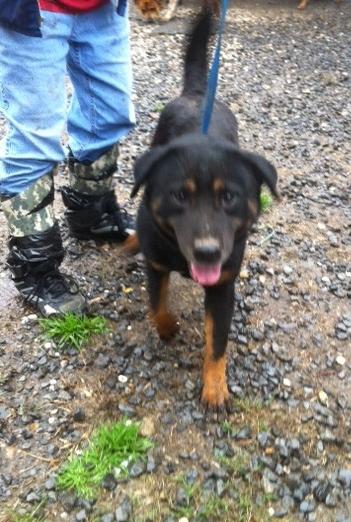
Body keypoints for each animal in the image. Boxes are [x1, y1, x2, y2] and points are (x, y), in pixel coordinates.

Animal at [131, 7, 280, 406]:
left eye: (228, 197)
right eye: (179, 196)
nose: (208, 252)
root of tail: (198, 93)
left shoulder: (223, 287)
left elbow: (217, 343)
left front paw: (214, 388)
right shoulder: (156, 265)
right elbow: (156, 306)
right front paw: (168, 328)